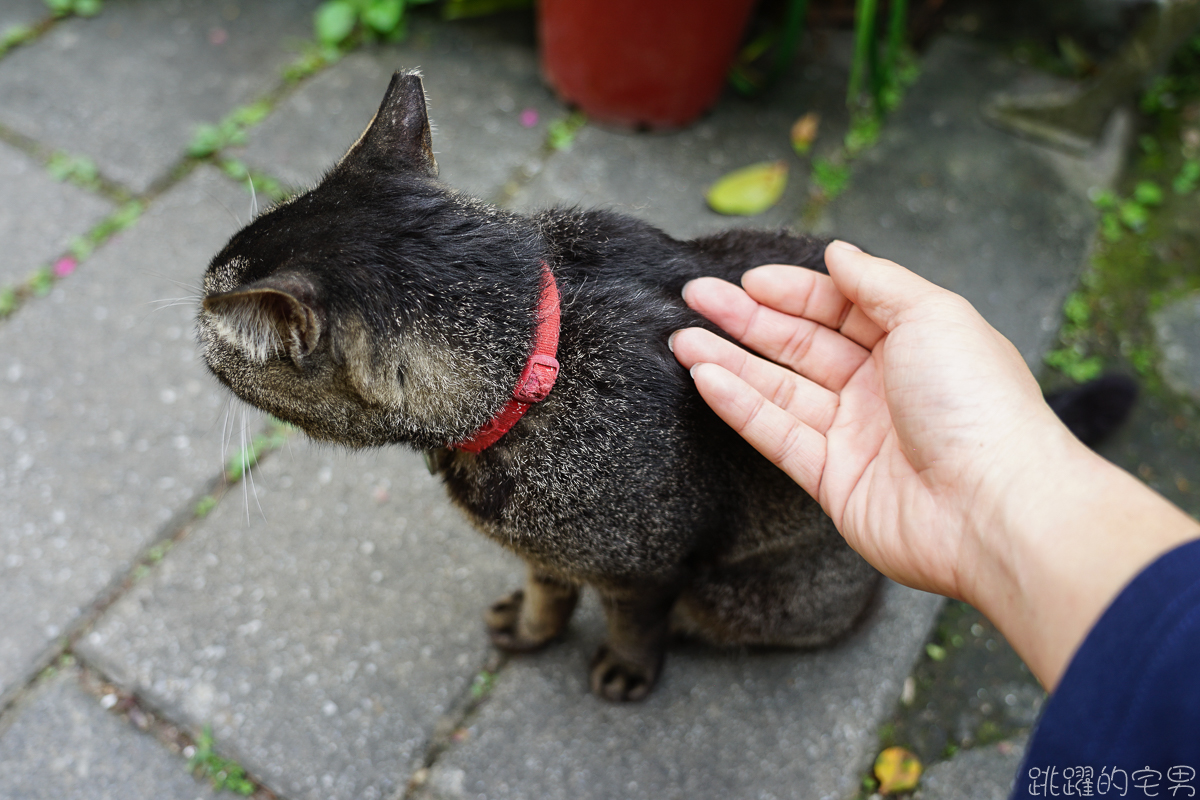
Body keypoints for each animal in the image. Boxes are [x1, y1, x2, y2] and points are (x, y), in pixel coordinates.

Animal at [196, 71, 883, 705]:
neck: (544, 361)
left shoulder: (648, 568)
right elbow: (547, 591)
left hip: (736, 593)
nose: (194, 317)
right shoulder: (543, 551)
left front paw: (626, 668)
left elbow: (633, 621)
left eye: (210, 318)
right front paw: (532, 628)